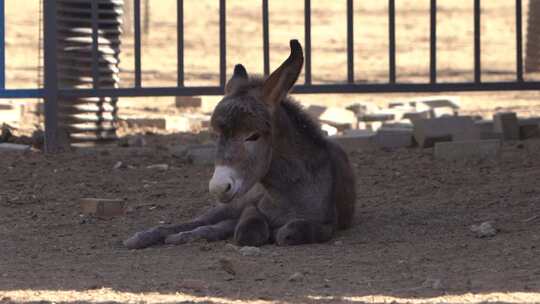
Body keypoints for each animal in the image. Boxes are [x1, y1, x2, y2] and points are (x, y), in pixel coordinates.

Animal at [124, 39, 356, 249]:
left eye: (253, 136)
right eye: (216, 135)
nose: (219, 187)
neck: (287, 192)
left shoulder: (328, 224)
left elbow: (289, 232)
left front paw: (279, 231)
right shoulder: (249, 208)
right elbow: (249, 230)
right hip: (234, 202)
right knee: (203, 221)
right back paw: (147, 237)